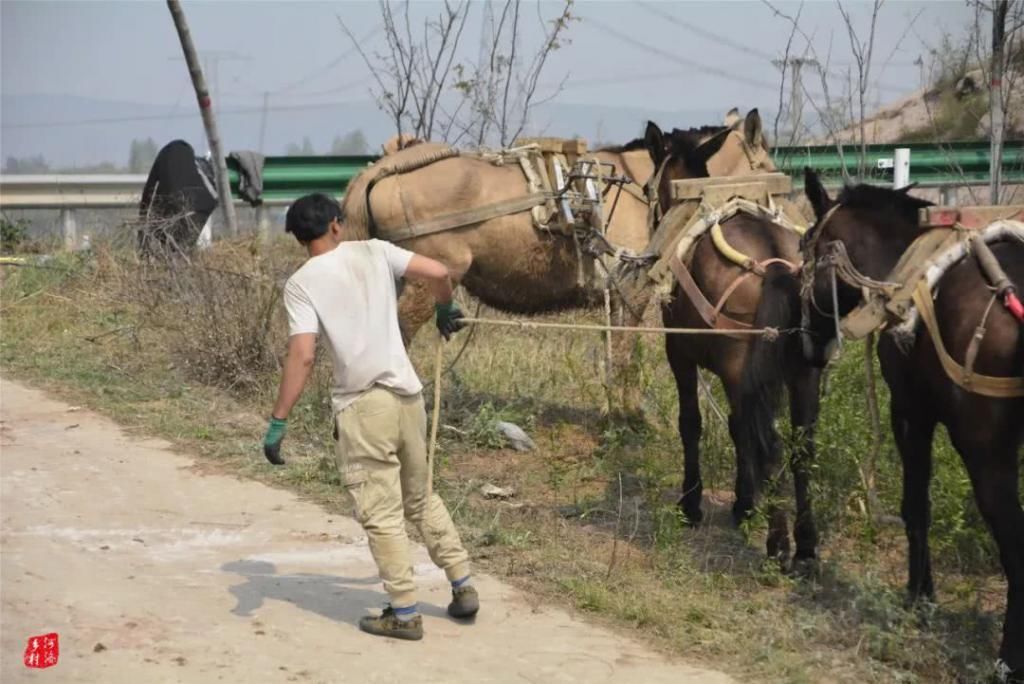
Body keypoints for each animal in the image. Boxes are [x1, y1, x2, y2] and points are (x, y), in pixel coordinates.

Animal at [647, 118, 823, 565]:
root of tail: (777, 267)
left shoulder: (680, 354)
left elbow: (693, 423)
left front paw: (692, 504)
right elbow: (737, 427)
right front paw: (745, 503)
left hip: (739, 369)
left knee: (772, 445)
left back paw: (779, 544)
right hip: (803, 375)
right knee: (801, 448)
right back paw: (806, 544)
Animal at [794, 169, 1024, 679]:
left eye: (805, 251)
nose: (809, 342)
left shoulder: (910, 412)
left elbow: (915, 505)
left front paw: (919, 597)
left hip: (986, 452)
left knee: (1013, 539)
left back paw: (1009, 658)